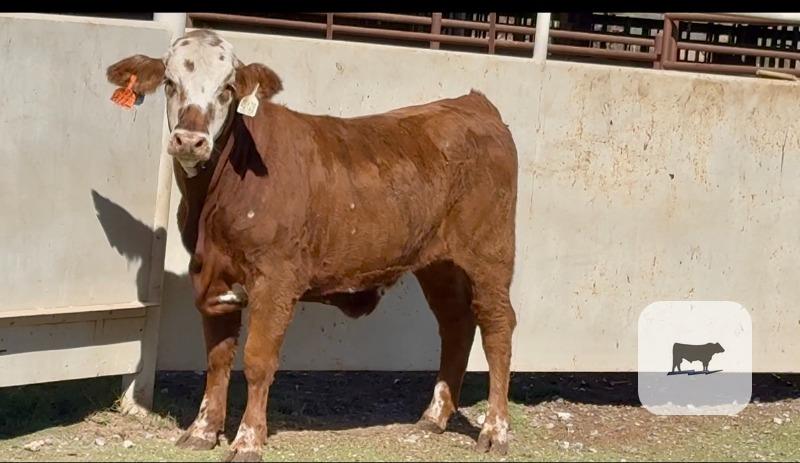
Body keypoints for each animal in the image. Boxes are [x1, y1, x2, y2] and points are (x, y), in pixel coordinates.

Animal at [106, 29, 518, 462]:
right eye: (170, 83)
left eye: (227, 89)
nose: (190, 140)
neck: (216, 200)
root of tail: (473, 104)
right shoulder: (211, 275)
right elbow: (217, 357)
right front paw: (203, 430)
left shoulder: (276, 278)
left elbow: (257, 359)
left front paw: (247, 439)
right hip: (439, 264)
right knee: (456, 324)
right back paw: (434, 416)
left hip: (490, 254)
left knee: (497, 326)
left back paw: (495, 430)